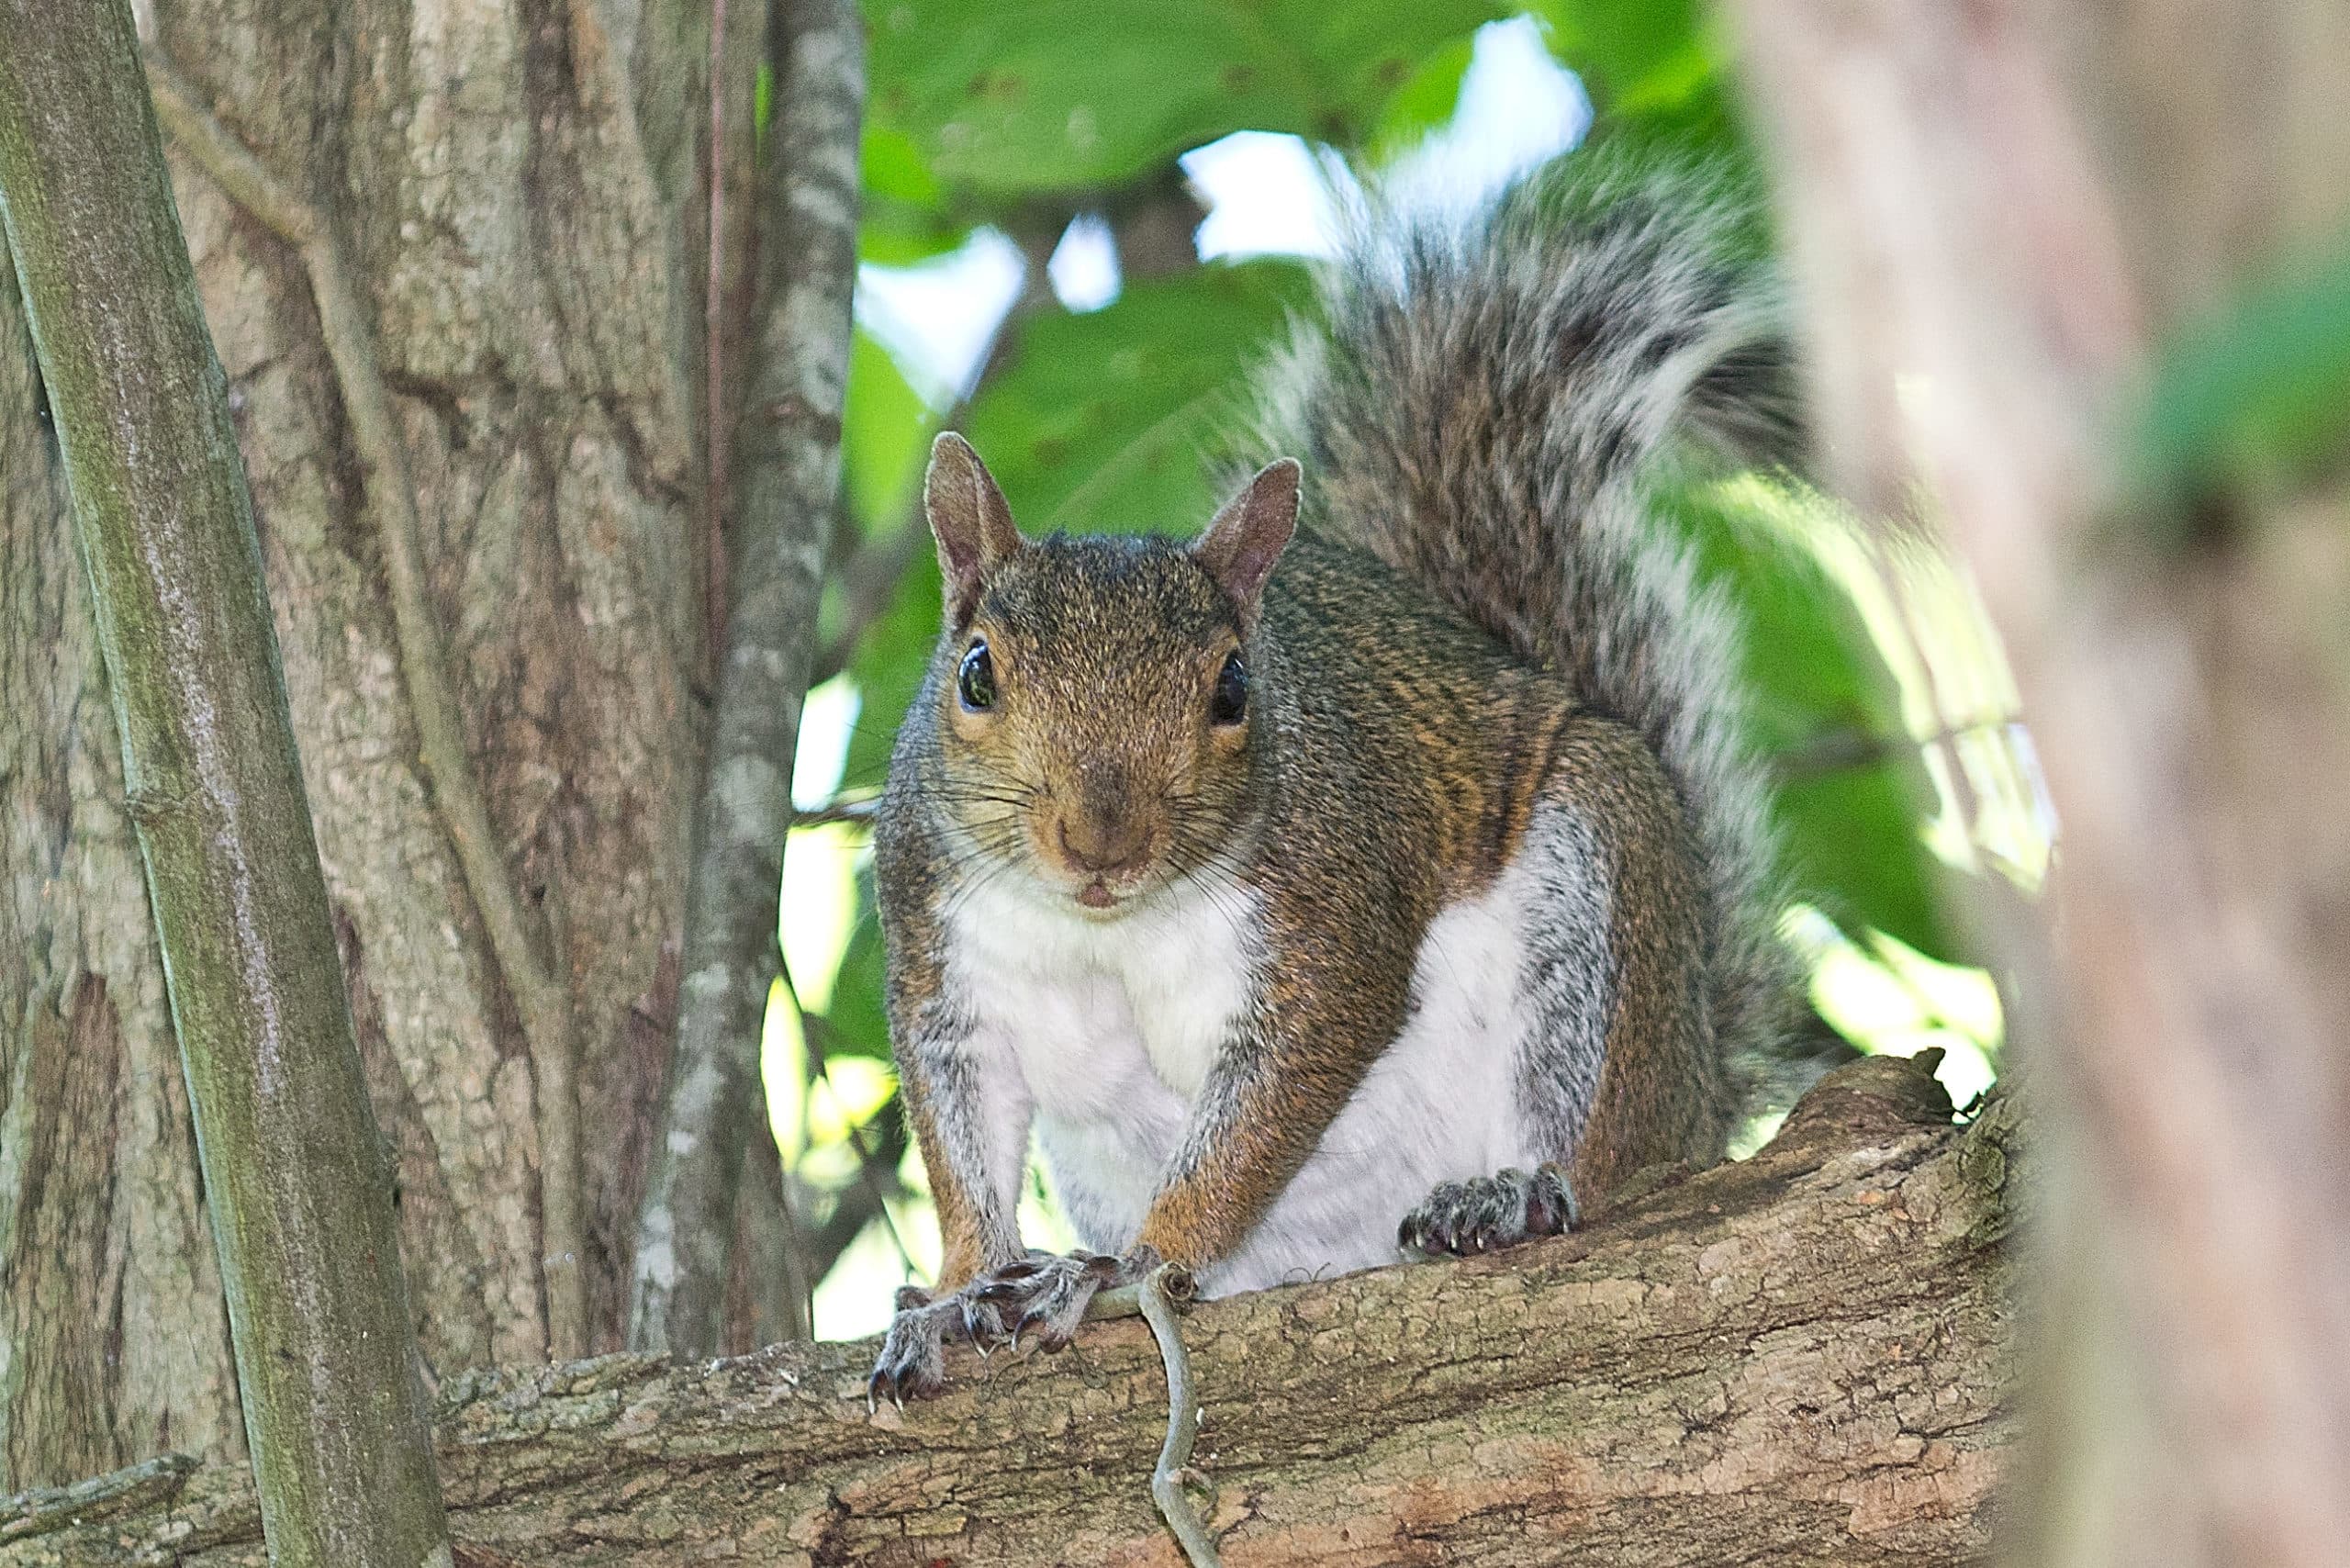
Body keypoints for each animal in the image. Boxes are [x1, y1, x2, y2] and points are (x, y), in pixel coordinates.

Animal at [867, 148, 1807, 1402]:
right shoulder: (938, 953)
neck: (1108, 927)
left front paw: (1131, 1265)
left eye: (1233, 688)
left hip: (1599, 892)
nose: (1101, 841)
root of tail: (1701, 1081)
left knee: (1606, 1148)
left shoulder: (1330, 920)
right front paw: (955, 1290)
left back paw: (1515, 1193)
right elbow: (960, 1137)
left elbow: (1262, 1116)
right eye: (975, 673)